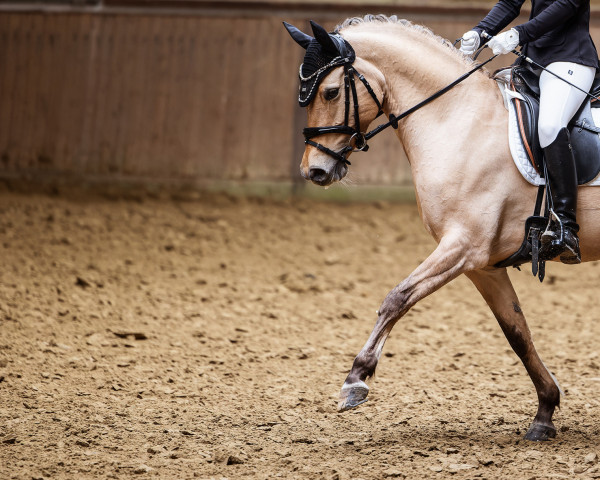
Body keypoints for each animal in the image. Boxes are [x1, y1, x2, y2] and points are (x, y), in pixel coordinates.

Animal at [284, 14, 600, 442]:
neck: (457, 120)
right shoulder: (483, 266)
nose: (313, 171)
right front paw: (544, 413)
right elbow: (517, 333)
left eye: (331, 92)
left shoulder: (463, 246)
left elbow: (397, 298)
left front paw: (356, 379)